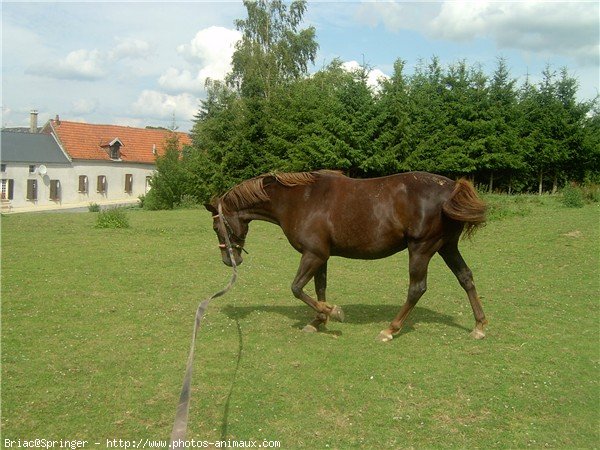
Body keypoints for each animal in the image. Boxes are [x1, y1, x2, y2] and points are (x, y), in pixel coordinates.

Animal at [205, 171, 488, 340]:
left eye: (217, 226)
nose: (229, 260)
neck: (300, 200)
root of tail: (450, 189)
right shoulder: (320, 256)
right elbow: (318, 288)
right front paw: (319, 319)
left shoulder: (313, 255)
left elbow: (296, 288)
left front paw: (333, 312)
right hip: (446, 247)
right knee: (466, 277)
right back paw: (479, 326)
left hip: (422, 249)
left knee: (417, 288)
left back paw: (390, 329)